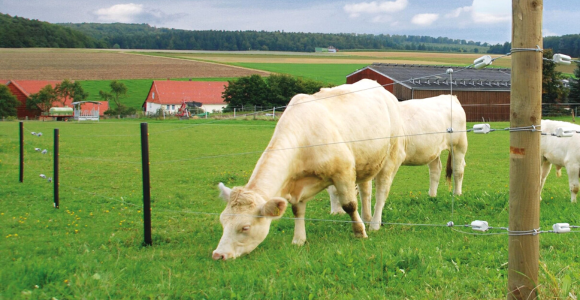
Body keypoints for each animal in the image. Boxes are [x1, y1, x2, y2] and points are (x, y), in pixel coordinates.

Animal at [211, 79, 406, 260]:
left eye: (245, 227)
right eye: (223, 221)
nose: (218, 255)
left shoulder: (343, 171)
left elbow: (349, 205)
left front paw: (359, 232)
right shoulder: (298, 182)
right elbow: (297, 210)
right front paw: (298, 239)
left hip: (390, 156)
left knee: (381, 192)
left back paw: (374, 224)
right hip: (366, 162)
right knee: (366, 192)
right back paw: (367, 218)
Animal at [328, 95, 468, 231]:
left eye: (339, 191)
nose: (335, 214)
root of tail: (450, 96)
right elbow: (366, 190)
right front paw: (366, 218)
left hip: (459, 145)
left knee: (458, 170)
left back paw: (457, 194)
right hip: (433, 150)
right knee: (435, 169)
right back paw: (432, 196)